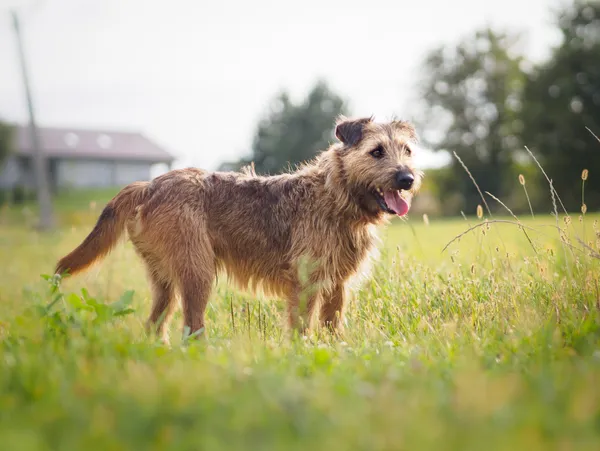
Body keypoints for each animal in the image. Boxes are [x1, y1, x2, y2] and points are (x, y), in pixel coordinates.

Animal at [55, 116, 422, 342]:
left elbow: (333, 324)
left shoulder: (337, 285)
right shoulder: (306, 282)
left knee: (155, 324)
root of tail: (150, 185)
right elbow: (302, 325)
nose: (408, 178)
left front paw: (337, 350)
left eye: (407, 150)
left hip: (165, 280)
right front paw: (301, 354)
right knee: (192, 326)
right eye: (376, 151)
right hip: (197, 272)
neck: (337, 194)